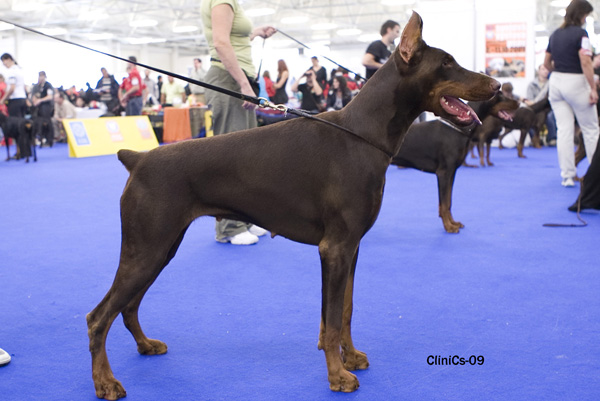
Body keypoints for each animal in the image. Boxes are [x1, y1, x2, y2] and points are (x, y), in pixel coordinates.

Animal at [86, 13, 500, 399]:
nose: (496, 86)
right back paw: (106, 382)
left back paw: (145, 345)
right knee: (98, 317)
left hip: (162, 247)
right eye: (446, 63)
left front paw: (351, 358)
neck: (361, 135)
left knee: (128, 306)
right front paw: (338, 376)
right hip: (147, 247)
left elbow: (343, 311)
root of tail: (138, 158)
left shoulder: (352, 247)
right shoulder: (335, 248)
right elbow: (331, 320)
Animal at [391, 91, 518, 233]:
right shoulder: (443, 173)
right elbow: (444, 203)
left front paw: (453, 223)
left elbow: (448, 202)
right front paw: (448, 227)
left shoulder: (452, 172)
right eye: (500, 95)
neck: (458, 129)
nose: (518, 102)